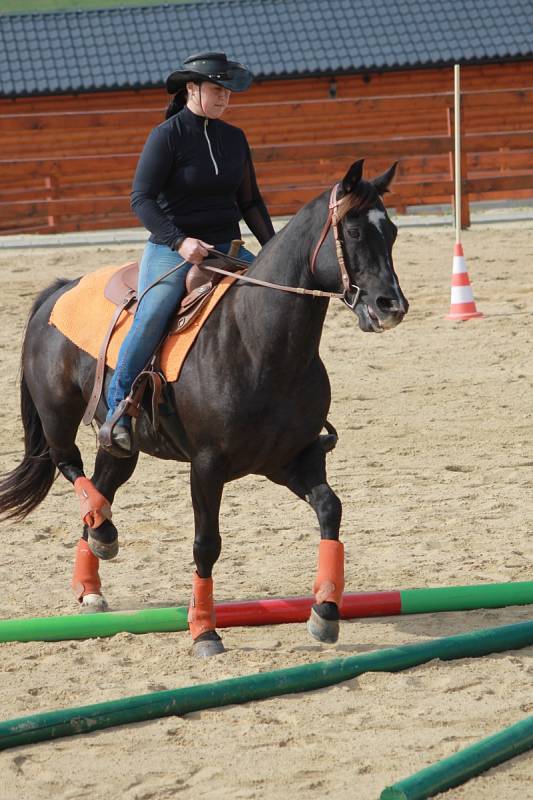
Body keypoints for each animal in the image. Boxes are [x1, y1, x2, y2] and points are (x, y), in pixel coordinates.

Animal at [0, 161, 408, 656]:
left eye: (392, 232)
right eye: (352, 229)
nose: (391, 305)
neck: (258, 343)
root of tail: (59, 290)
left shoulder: (293, 459)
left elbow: (331, 509)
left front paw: (325, 612)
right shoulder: (208, 466)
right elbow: (206, 544)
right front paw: (204, 630)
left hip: (122, 445)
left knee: (102, 484)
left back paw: (92, 573)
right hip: (58, 416)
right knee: (68, 464)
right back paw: (103, 534)